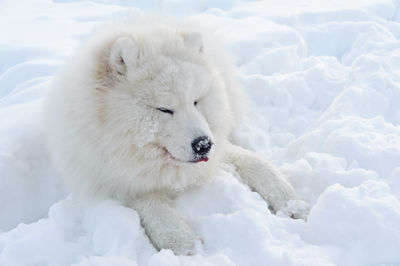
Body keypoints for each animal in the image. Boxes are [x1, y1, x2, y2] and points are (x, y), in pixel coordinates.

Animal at [46, 18, 310, 256]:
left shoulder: (218, 149)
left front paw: (292, 203)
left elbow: (257, 164)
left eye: (196, 101)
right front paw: (181, 242)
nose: (203, 144)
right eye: (164, 109)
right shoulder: (112, 181)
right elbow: (149, 203)